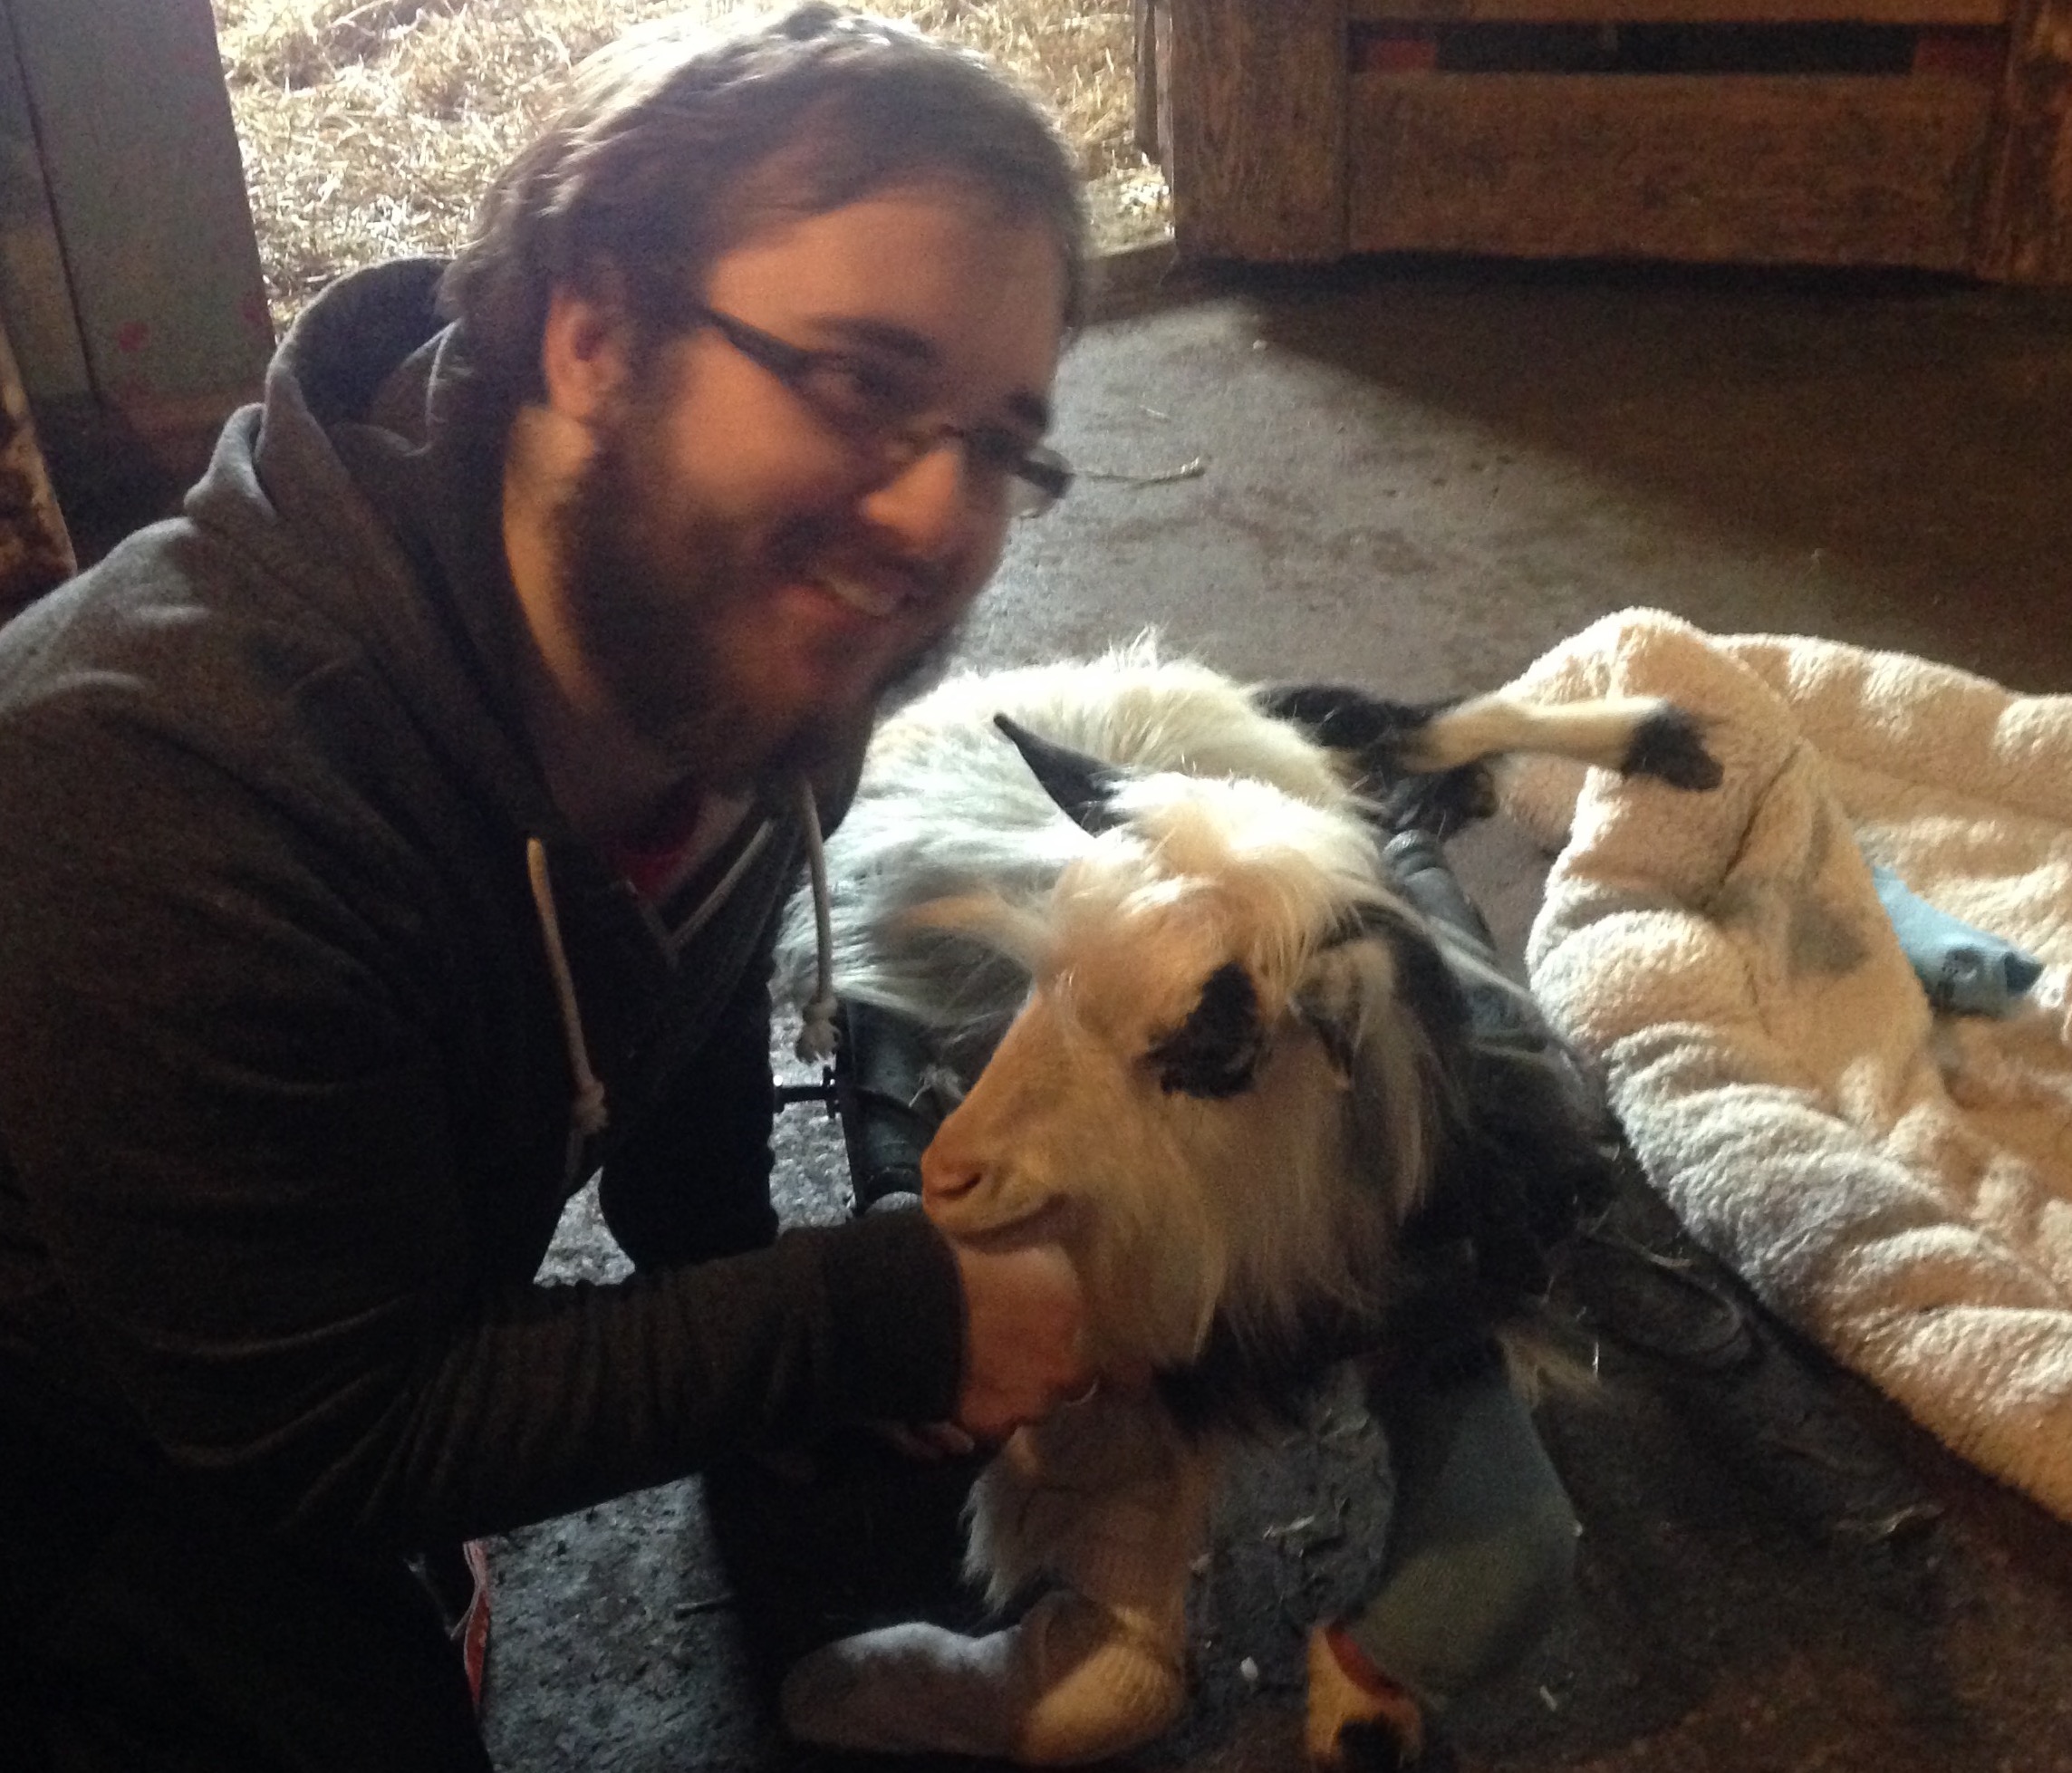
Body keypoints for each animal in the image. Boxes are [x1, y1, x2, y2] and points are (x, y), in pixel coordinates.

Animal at [770, 641, 1707, 1764]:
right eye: (1039, 976)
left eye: (1208, 1052)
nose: (950, 1177)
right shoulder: (1132, 1377)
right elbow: (1126, 1676)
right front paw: (845, 1683)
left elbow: (1512, 1556)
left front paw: (1358, 1706)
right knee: (1406, 725)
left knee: (1417, 725)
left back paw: (1663, 742)